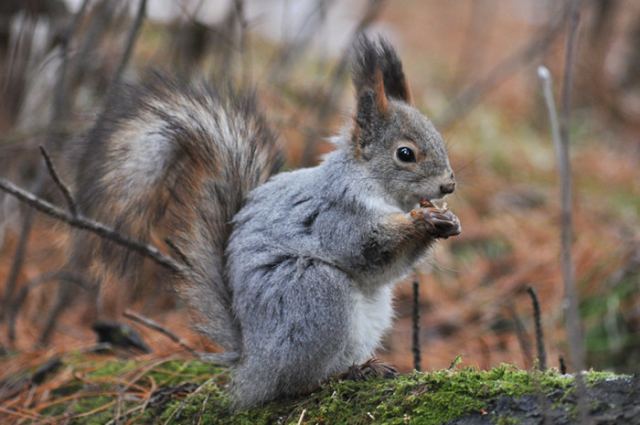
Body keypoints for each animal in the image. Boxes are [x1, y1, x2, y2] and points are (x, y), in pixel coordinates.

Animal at [64, 36, 461, 408]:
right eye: (405, 154)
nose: (449, 185)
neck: (377, 188)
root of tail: (252, 366)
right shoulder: (336, 215)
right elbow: (366, 248)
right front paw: (421, 221)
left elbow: (388, 269)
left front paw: (445, 220)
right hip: (313, 293)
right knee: (294, 383)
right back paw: (342, 375)